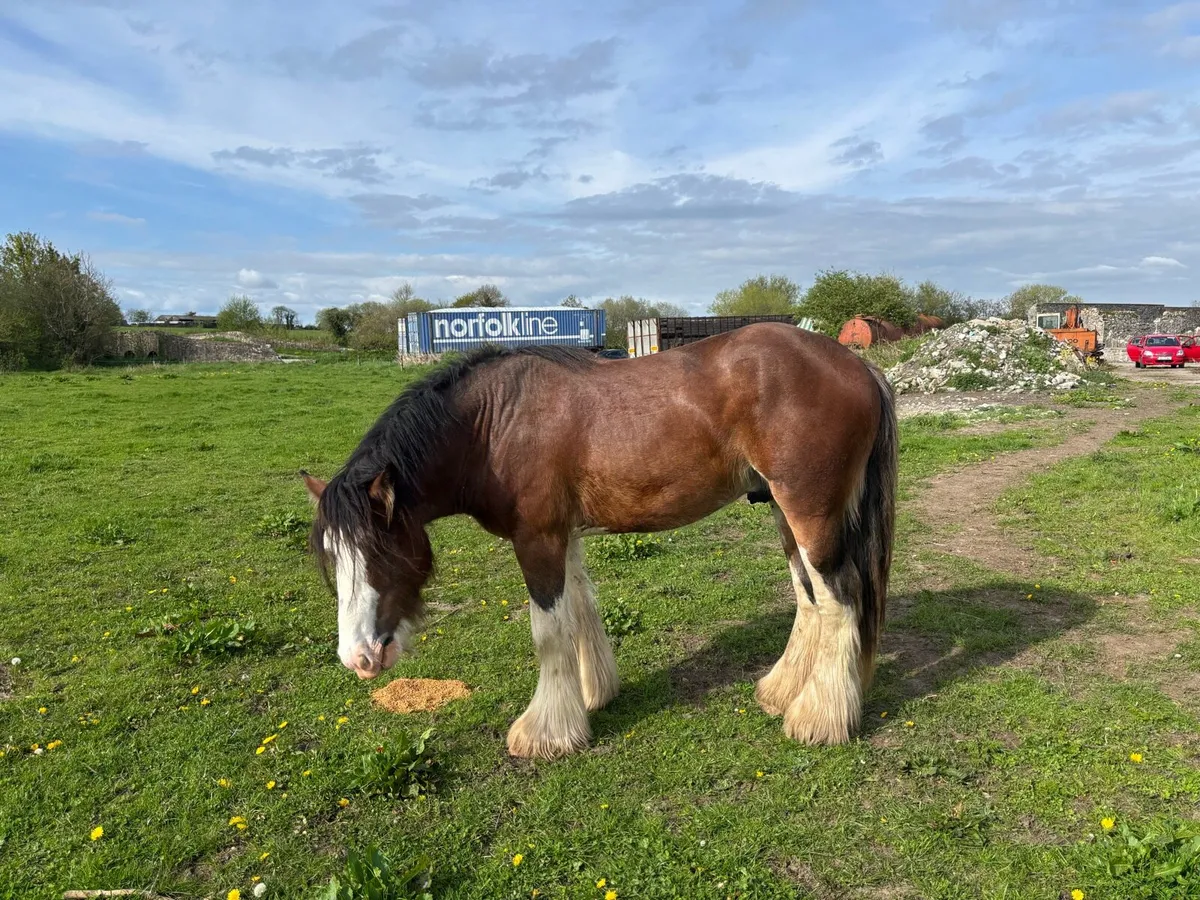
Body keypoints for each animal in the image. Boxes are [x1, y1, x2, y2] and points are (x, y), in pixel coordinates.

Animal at [301, 322, 897, 760]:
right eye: (333, 558)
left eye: (379, 551)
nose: (358, 658)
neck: (492, 426)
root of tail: (858, 365)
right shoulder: (562, 537)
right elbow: (581, 612)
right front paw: (593, 696)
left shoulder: (536, 540)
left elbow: (547, 632)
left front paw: (545, 733)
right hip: (780, 510)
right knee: (809, 599)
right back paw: (782, 690)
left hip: (809, 513)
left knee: (840, 600)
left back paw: (819, 719)